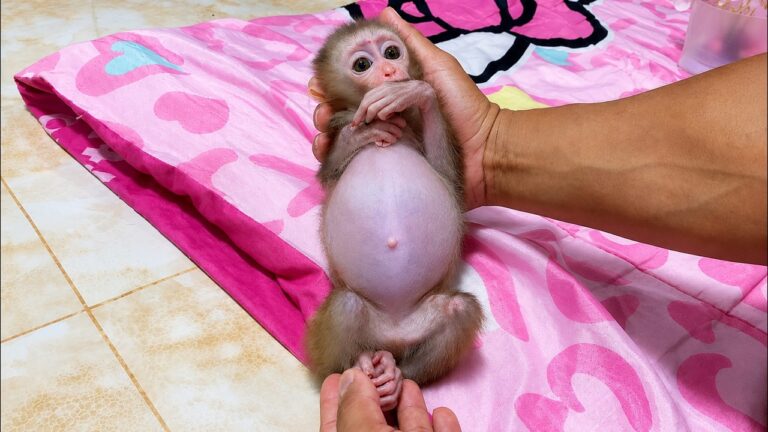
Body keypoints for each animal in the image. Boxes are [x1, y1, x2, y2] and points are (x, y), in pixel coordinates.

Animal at [305, 19, 484, 411]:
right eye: (362, 64)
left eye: (391, 52)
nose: (389, 72)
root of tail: (393, 333)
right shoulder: (334, 133)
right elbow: (329, 172)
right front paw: (362, 132)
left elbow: (449, 181)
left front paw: (414, 92)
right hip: (358, 323)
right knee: (346, 308)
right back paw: (359, 364)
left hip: (421, 326)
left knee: (458, 310)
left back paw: (396, 373)